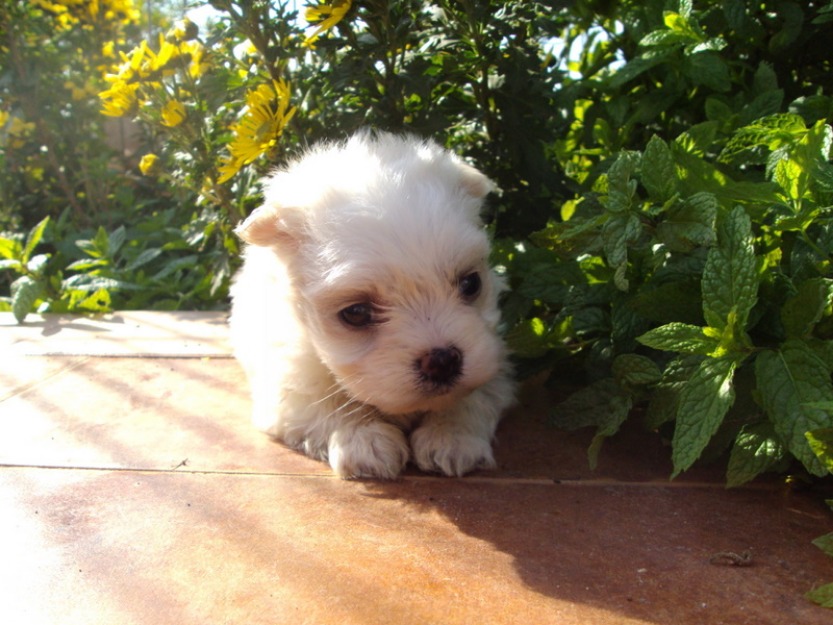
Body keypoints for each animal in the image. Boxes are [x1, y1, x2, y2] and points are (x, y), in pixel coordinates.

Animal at [229, 130, 512, 478]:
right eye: (356, 313)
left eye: (472, 283)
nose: (442, 360)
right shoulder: (287, 385)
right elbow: (326, 402)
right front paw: (365, 440)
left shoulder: (496, 364)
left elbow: (472, 396)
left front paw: (452, 436)